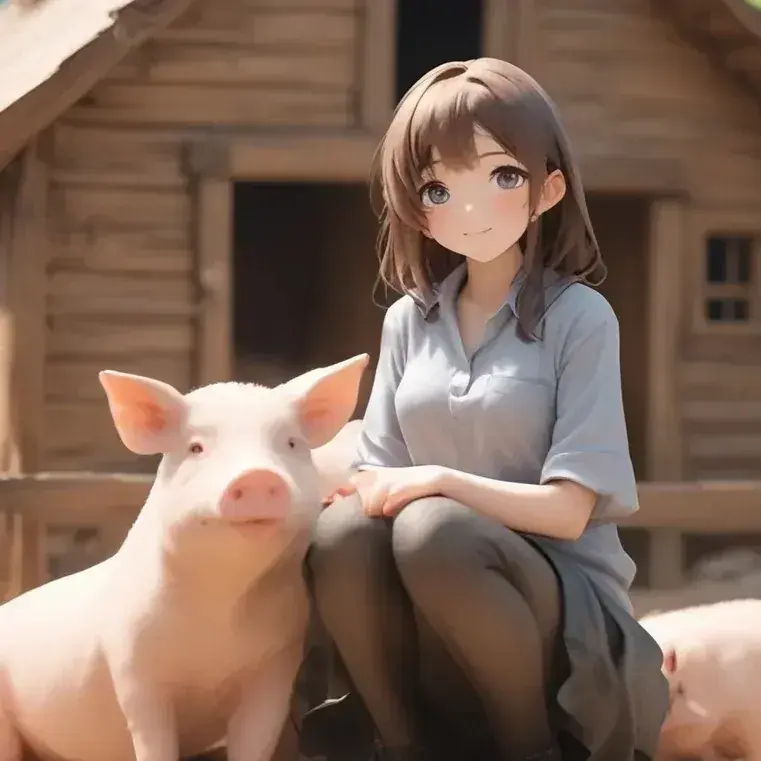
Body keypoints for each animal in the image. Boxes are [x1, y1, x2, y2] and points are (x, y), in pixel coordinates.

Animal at [0, 353, 369, 761]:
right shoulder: (133, 666)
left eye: (290, 443)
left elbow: (256, 738)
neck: (220, 616)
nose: (257, 476)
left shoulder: (276, 666)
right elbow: (153, 740)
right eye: (196, 448)